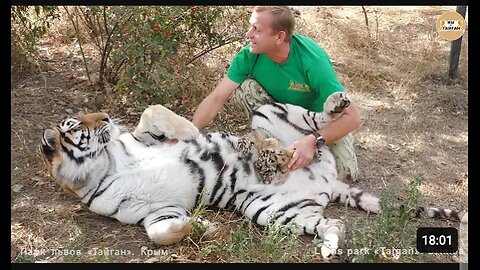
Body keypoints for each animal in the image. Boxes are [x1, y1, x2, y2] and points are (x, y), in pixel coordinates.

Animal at [41, 96, 468, 258]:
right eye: (77, 124)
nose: (106, 117)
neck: (106, 163)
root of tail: (329, 183)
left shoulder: (146, 138)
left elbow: (155, 114)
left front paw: (194, 134)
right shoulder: (154, 210)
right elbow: (160, 233)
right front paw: (204, 229)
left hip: (271, 112)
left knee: (317, 123)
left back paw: (332, 106)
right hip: (276, 211)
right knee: (334, 225)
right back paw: (329, 248)